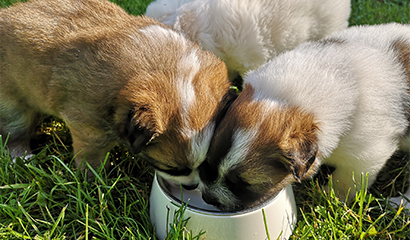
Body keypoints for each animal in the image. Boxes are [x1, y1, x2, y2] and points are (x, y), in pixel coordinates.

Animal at [0, 0, 235, 187]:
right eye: (173, 169)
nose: (191, 186)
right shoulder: (88, 129)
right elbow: (91, 159)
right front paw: (94, 181)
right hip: (13, 107)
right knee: (15, 133)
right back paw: (22, 158)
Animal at [200, 22, 410, 210]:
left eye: (242, 184)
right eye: (207, 163)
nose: (208, 198)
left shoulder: (367, 153)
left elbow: (347, 178)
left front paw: (331, 196)